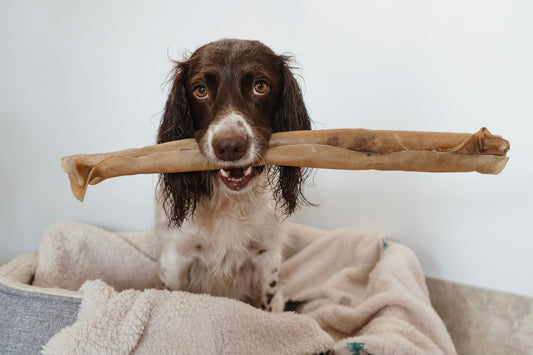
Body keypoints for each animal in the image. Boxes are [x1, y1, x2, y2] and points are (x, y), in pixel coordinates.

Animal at [156, 37, 310, 312]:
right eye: (200, 90)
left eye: (260, 86)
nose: (229, 146)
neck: (228, 202)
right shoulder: (175, 257)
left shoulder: (266, 257)